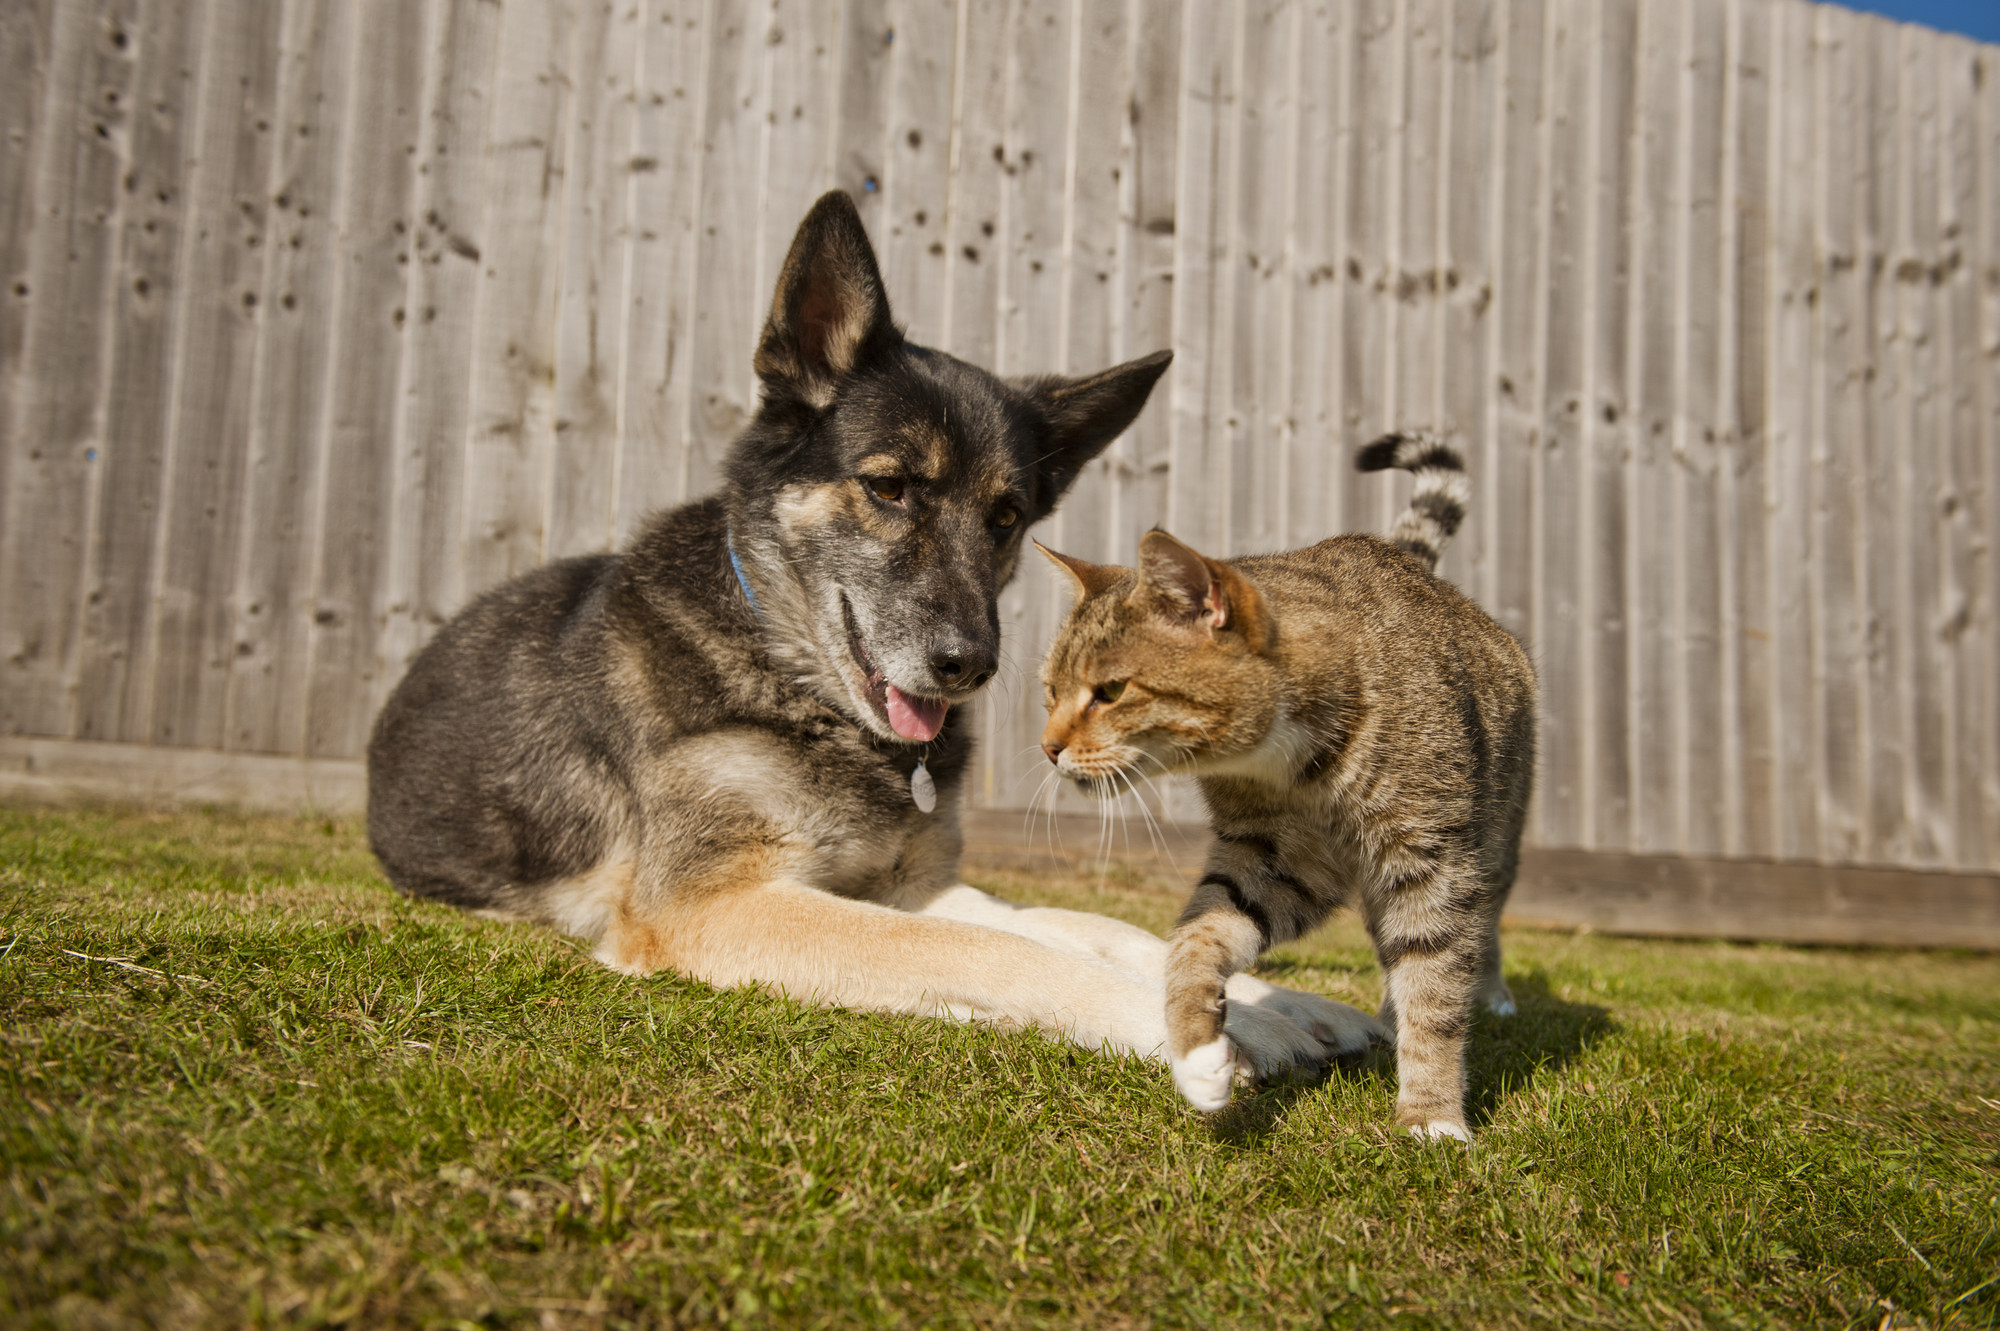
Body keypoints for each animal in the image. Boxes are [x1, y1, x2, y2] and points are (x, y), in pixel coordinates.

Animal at [368, 188, 1376, 1079]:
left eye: (1007, 517)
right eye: (889, 487)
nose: (970, 666)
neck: (786, 672)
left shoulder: (912, 884)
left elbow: (1089, 926)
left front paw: (1286, 1001)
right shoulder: (715, 902)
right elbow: (980, 948)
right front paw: (1191, 1023)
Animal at [1032, 435, 1528, 1143]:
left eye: (1111, 691)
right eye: (1051, 691)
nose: (1048, 747)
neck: (1295, 766)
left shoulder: (1430, 857)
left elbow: (1435, 982)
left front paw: (1432, 1116)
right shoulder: (1275, 858)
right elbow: (1199, 934)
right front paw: (1199, 1056)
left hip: (1495, 831)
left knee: (1474, 927)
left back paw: (1486, 995)